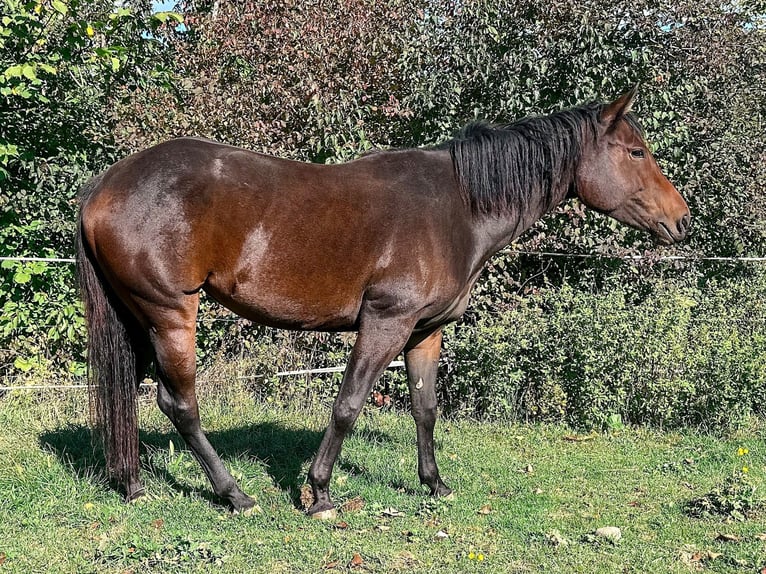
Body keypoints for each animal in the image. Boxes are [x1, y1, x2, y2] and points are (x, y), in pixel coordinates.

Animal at [76, 87, 690, 518]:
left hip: (137, 318)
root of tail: (105, 183)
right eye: (636, 151)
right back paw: (234, 494)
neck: (458, 206)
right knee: (179, 404)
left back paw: (132, 484)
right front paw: (320, 494)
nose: (681, 220)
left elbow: (425, 408)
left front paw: (434, 484)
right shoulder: (385, 323)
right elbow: (348, 405)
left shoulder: (424, 331)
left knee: (127, 393)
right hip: (170, 314)